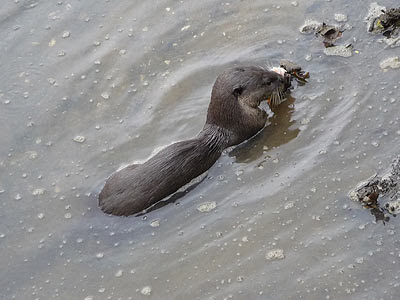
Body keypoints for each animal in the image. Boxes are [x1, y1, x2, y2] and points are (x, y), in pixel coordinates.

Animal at [98, 65, 290, 216]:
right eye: (267, 81)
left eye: (262, 69)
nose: (281, 78)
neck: (230, 121)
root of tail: (101, 204)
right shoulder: (251, 125)